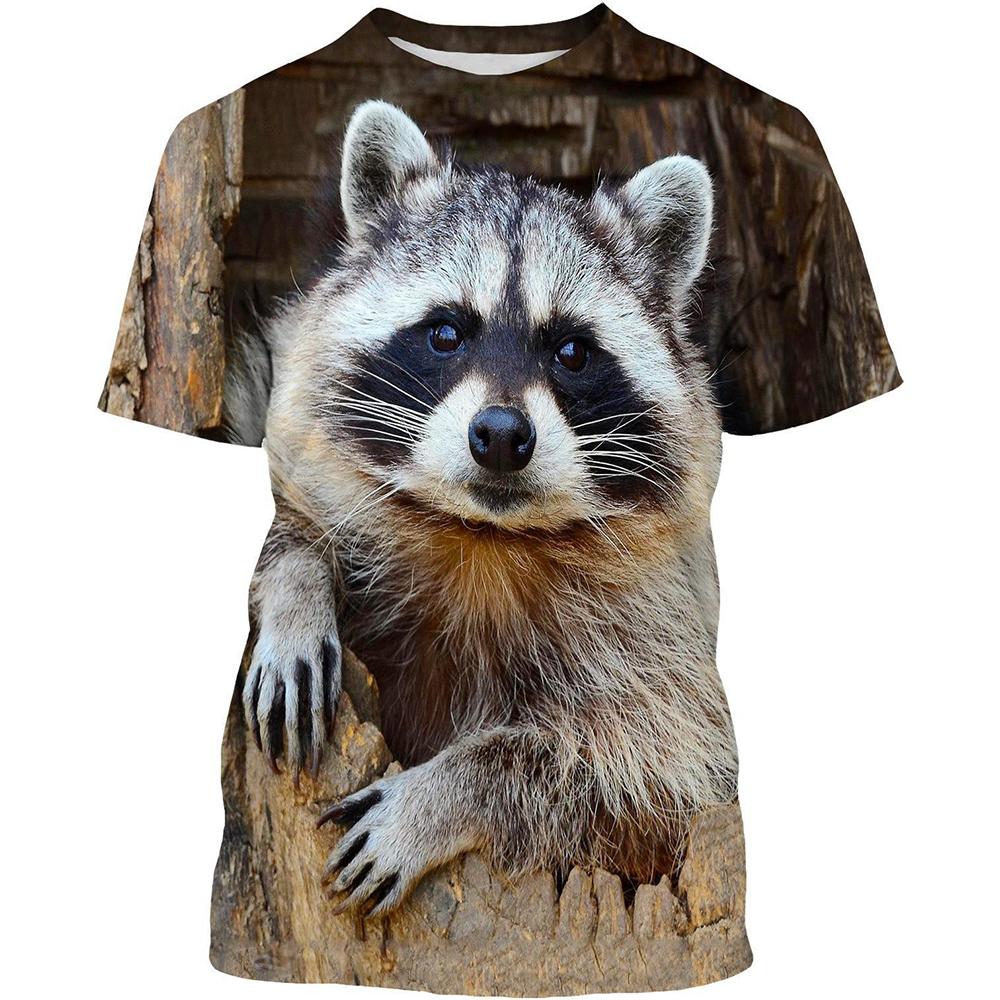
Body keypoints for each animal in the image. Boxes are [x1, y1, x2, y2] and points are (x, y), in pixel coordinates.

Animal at [227, 100, 737, 917]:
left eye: (571, 351)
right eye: (446, 331)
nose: (500, 435)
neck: (481, 533)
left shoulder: (661, 627)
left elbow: (648, 763)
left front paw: (444, 793)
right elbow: (291, 520)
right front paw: (296, 587)